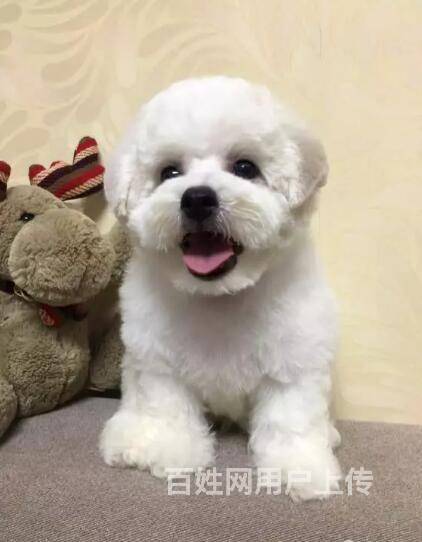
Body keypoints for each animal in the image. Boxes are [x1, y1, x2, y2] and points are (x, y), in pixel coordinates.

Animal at [100, 76, 341, 501]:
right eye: (169, 172)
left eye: (245, 168)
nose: (197, 197)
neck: (221, 297)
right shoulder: (159, 362)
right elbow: (169, 407)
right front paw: (172, 450)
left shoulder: (294, 358)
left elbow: (290, 419)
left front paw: (299, 467)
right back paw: (129, 437)